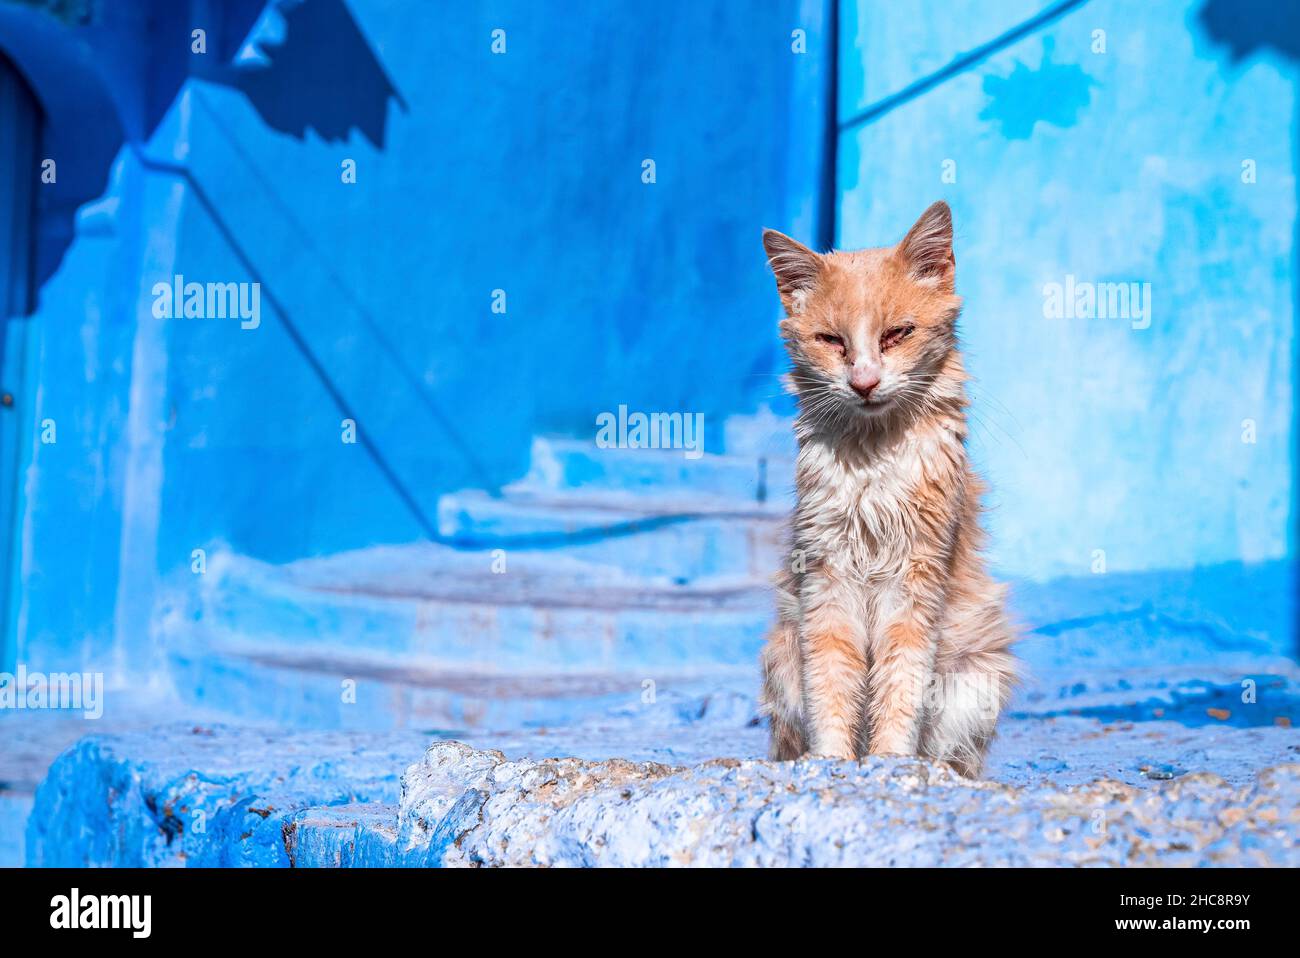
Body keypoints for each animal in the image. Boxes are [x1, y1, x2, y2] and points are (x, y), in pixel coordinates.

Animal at [759, 201, 1019, 779]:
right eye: (832, 341)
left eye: (898, 334)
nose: (864, 382)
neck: (872, 461)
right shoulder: (826, 578)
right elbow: (833, 682)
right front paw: (832, 761)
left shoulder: (917, 580)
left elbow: (900, 684)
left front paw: (888, 762)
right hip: (782, 654)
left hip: (977, 675)